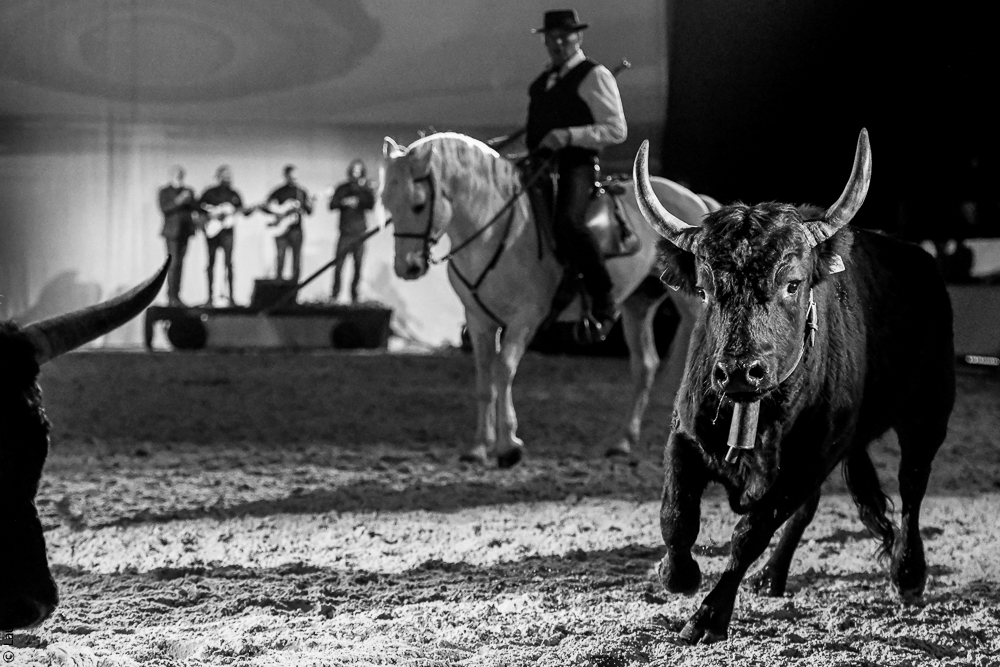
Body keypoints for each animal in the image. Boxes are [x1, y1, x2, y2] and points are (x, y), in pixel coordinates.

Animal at [381, 132, 710, 467]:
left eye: (419, 205)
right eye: (387, 203)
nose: (407, 267)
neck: (493, 232)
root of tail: (693, 199)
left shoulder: (525, 318)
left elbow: (503, 370)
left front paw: (508, 447)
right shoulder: (478, 320)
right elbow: (484, 379)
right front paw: (479, 447)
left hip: (692, 306)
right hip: (637, 305)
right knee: (645, 366)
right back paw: (623, 442)